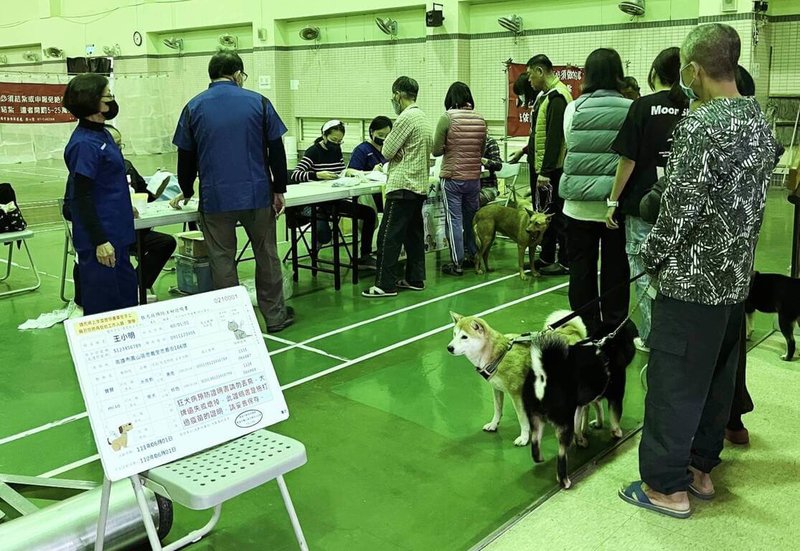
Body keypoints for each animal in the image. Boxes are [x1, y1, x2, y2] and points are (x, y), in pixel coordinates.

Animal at [444, 310, 588, 448]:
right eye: (454, 334)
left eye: (464, 337)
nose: (449, 348)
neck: (496, 354)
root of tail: (573, 333)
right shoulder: (496, 389)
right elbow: (497, 409)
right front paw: (493, 424)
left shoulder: (516, 394)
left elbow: (522, 419)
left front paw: (524, 438)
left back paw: (580, 433)